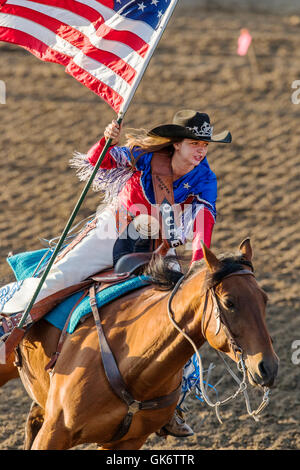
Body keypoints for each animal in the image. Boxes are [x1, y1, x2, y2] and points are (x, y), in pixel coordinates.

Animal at [4, 241, 278, 450]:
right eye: (229, 302)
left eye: (264, 299)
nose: (268, 367)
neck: (133, 366)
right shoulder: (55, 432)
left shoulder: (127, 442)